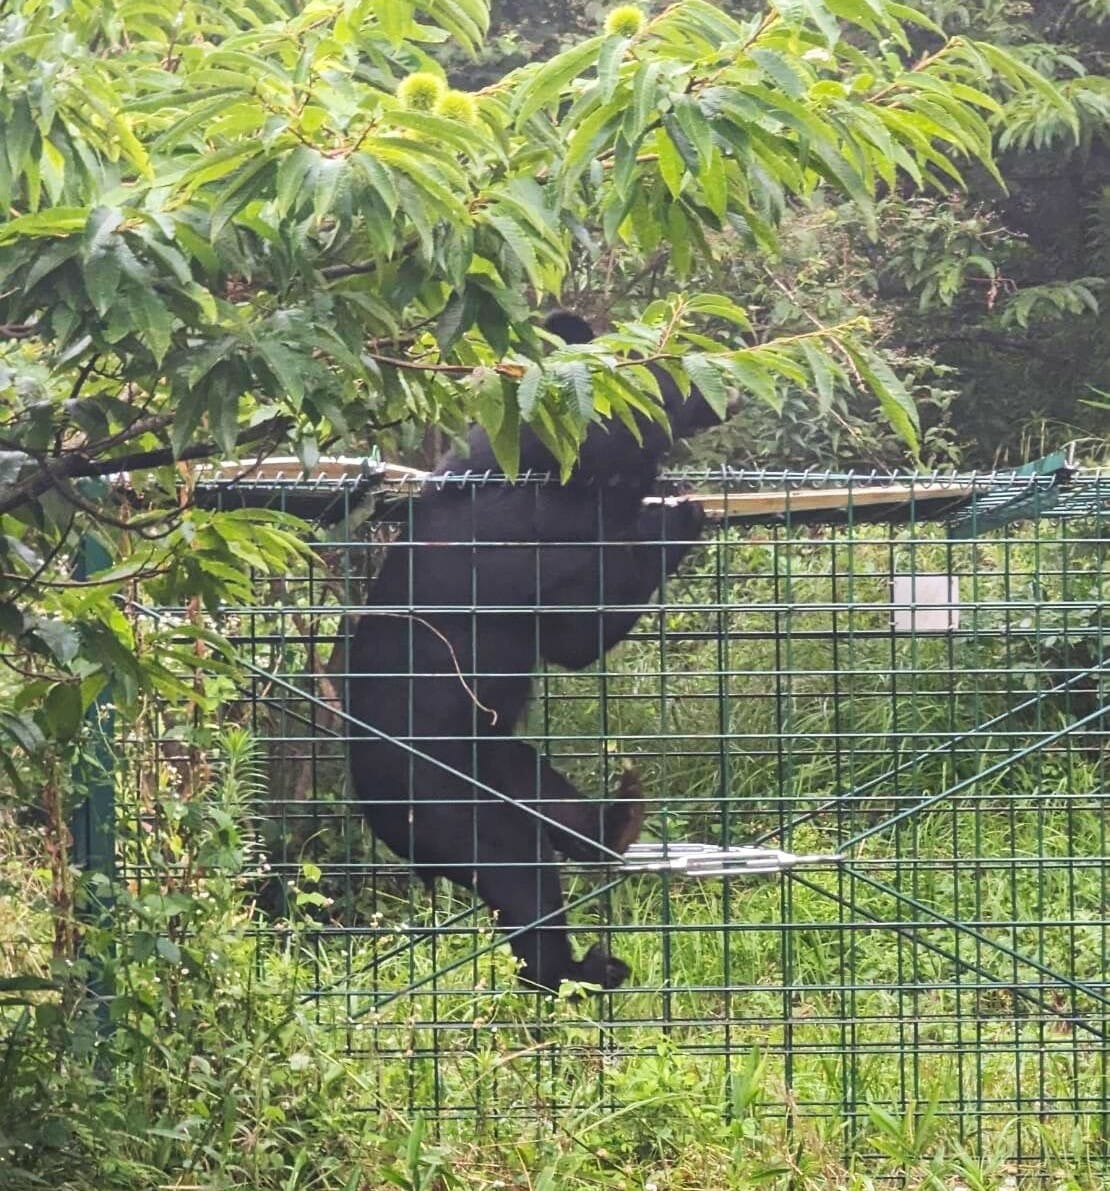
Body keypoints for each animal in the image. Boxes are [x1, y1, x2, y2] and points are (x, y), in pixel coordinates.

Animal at [350, 312, 724, 990]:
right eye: (669, 377)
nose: (725, 395)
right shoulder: (524, 539)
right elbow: (580, 623)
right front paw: (675, 510)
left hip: (496, 758)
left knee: (549, 799)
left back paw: (616, 825)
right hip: (448, 801)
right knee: (520, 877)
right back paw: (581, 967)